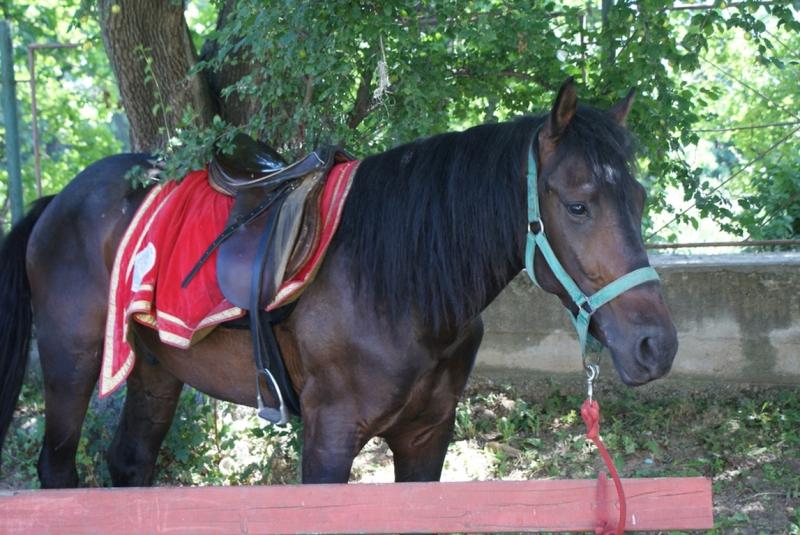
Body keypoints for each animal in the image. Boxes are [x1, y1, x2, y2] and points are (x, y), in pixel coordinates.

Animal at [0, 79, 677, 488]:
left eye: (640, 198)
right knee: (57, 470)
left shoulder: (427, 436)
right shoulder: (328, 439)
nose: (657, 347)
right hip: (72, 364)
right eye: (579, 205)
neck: (401, 287)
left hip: (155, 370)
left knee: (130, 465)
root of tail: (62, 199)